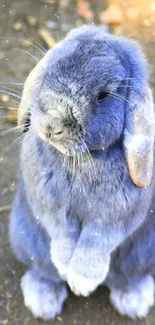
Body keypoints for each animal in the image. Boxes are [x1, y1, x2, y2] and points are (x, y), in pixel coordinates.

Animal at [9, 25, 155, 318]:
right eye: (49, 71)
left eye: (103, 96)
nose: (51, 124)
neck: (81, 159)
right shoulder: (50, 207)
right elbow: (62, 233)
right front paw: (67, 268)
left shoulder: (114, 217)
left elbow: (95, 241)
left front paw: (82, 282)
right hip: (27, 240)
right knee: (43, 272)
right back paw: (43, 302)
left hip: (143, 255)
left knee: (128, 278)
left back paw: (134, 302)